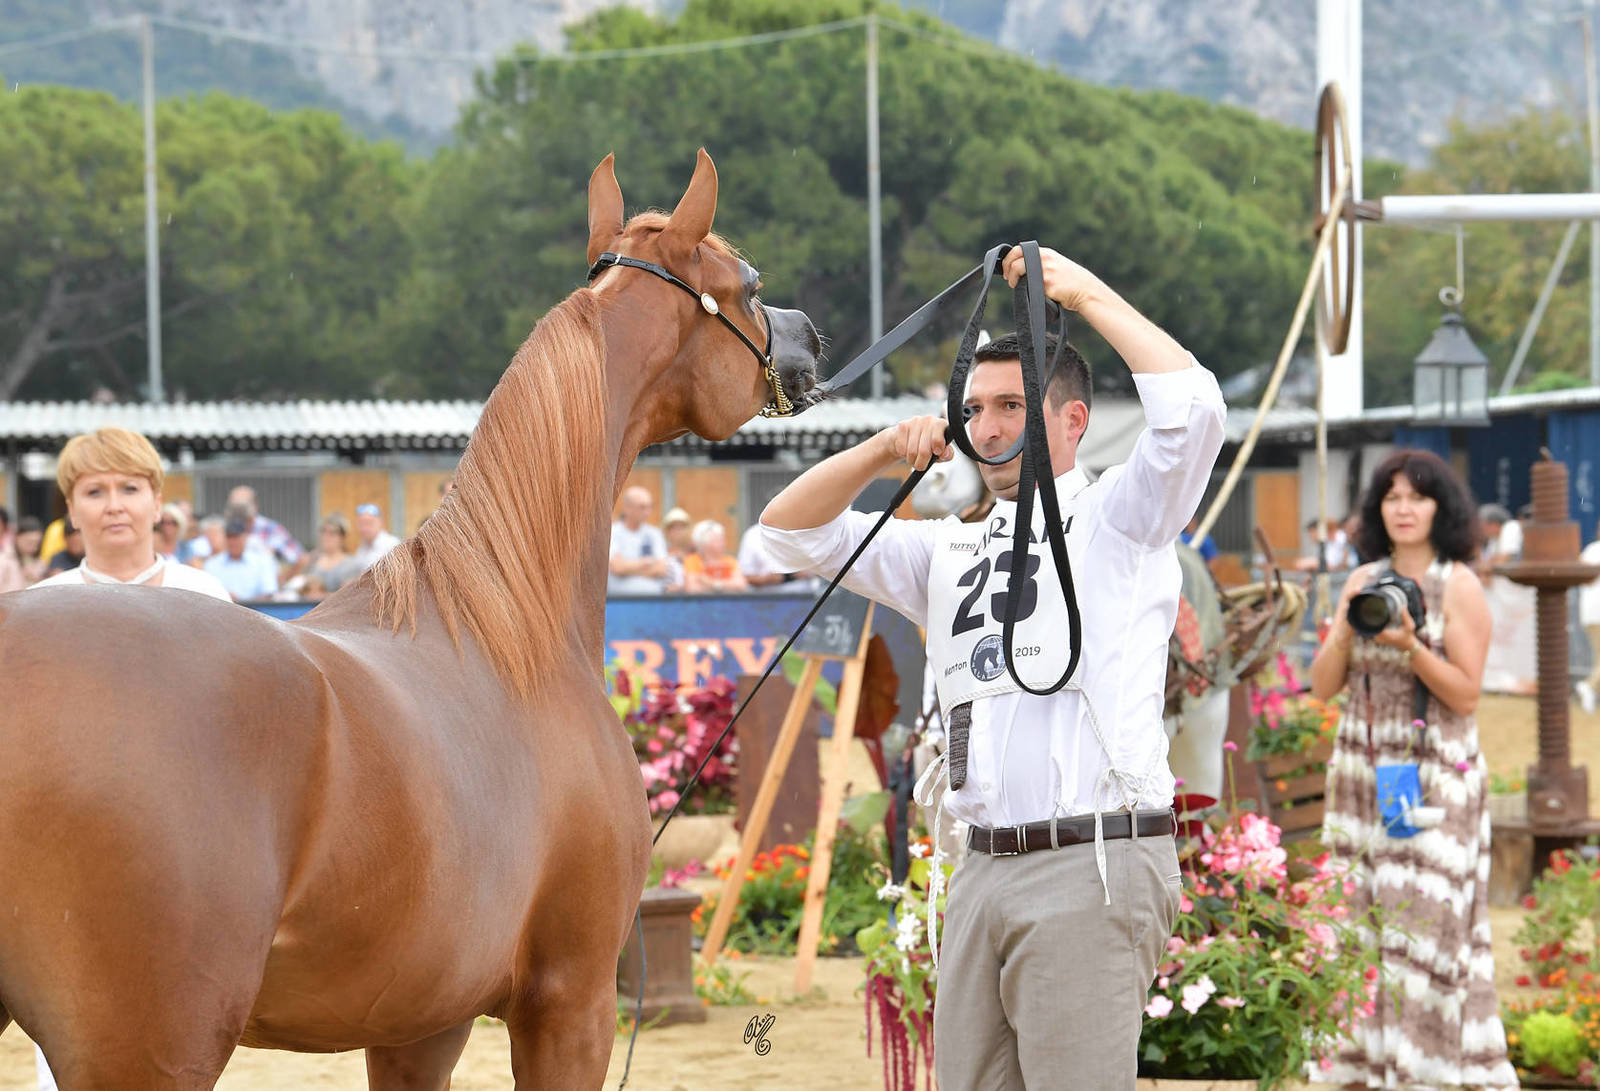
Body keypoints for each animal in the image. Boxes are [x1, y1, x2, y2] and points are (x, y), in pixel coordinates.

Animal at [0, 149, 821, 1090]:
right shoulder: (571, 1000)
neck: (511, 626)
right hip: (153, 1045)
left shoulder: (419, 1020)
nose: (808, 337)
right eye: (749, 282)